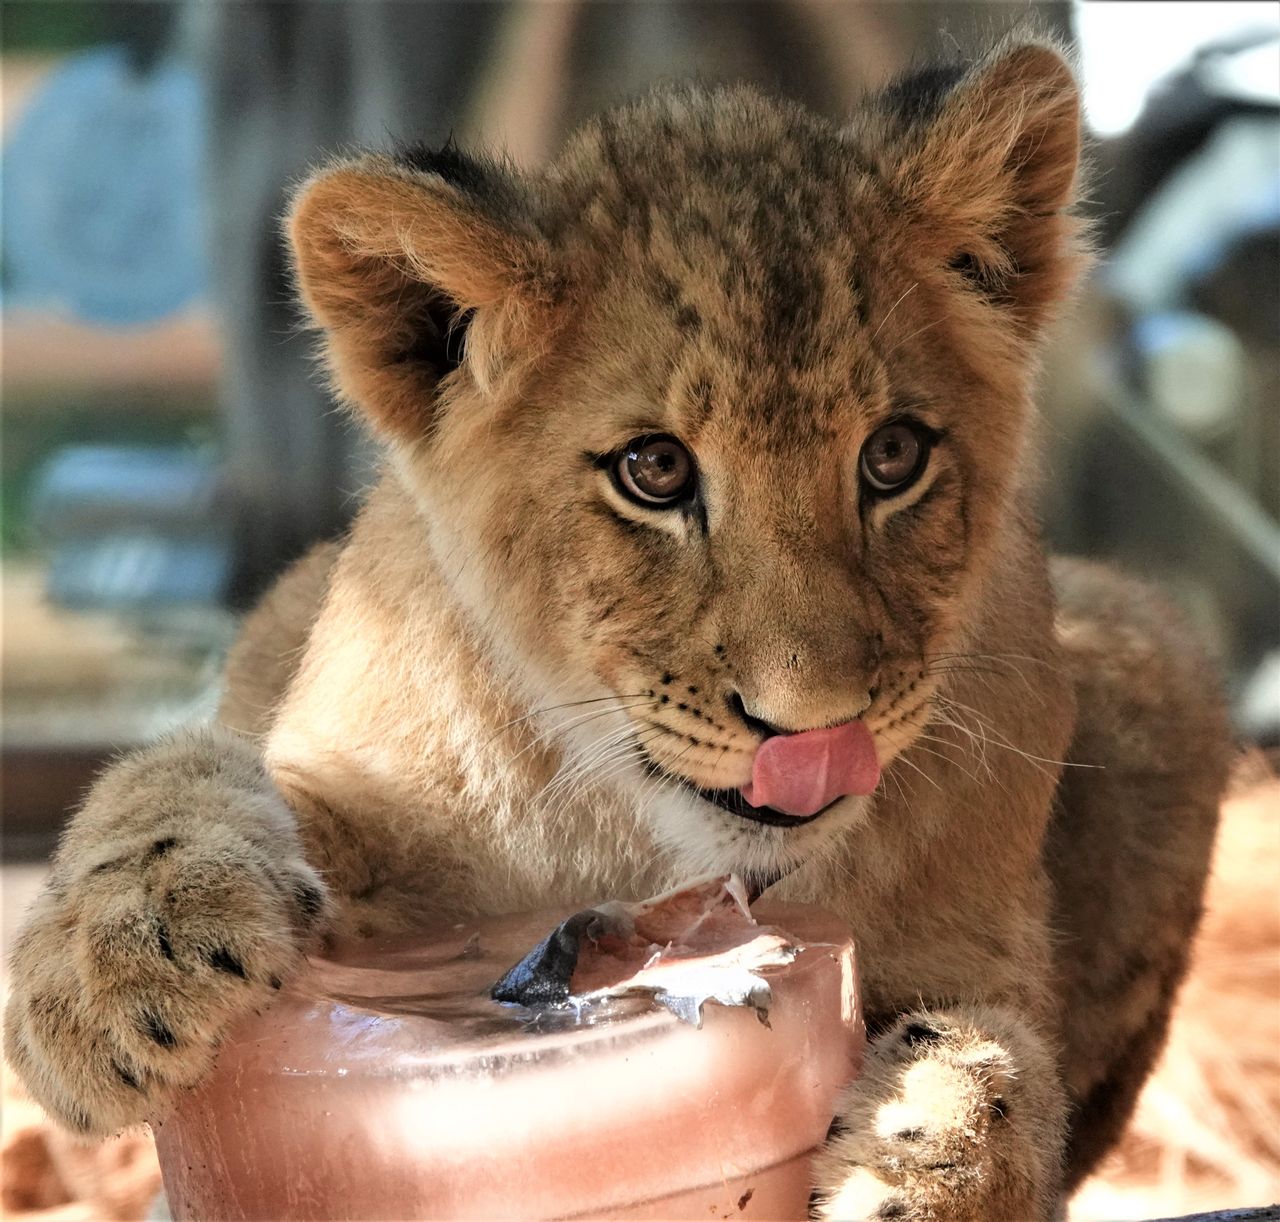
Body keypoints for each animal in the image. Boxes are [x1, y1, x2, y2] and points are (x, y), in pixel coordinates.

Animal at [5, 37, 1230, 1221]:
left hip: (1154, 652)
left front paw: (928, 1158)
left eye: (892, 456)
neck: (643, 839)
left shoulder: (978, 953)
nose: (813, 726)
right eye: (654, 470)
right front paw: (120, 961)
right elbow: (186, 772)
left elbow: (1002, 1056)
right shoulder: (349, 776)